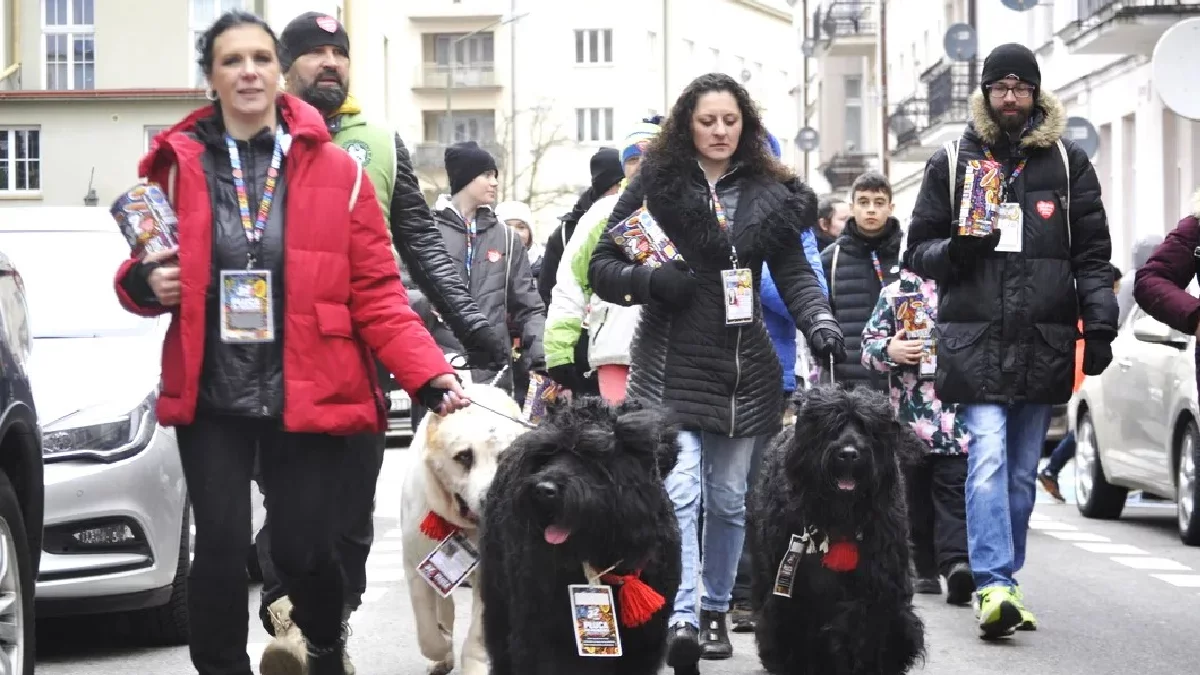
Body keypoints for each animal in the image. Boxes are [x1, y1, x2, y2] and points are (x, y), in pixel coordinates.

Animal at [400, 384, 528, 672]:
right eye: (464, 456)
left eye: (504, 457)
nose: (491, 498)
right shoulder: (416, 566)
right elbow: (427, 630)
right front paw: (442, 644)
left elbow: (478, 632)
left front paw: (475, 664)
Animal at [748, 384, 926, 672]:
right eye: (831, 425)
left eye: (866, 427)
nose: (849, 453)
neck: (841, 519)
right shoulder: (795, 598)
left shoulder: (876, 591)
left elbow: (864, 633)